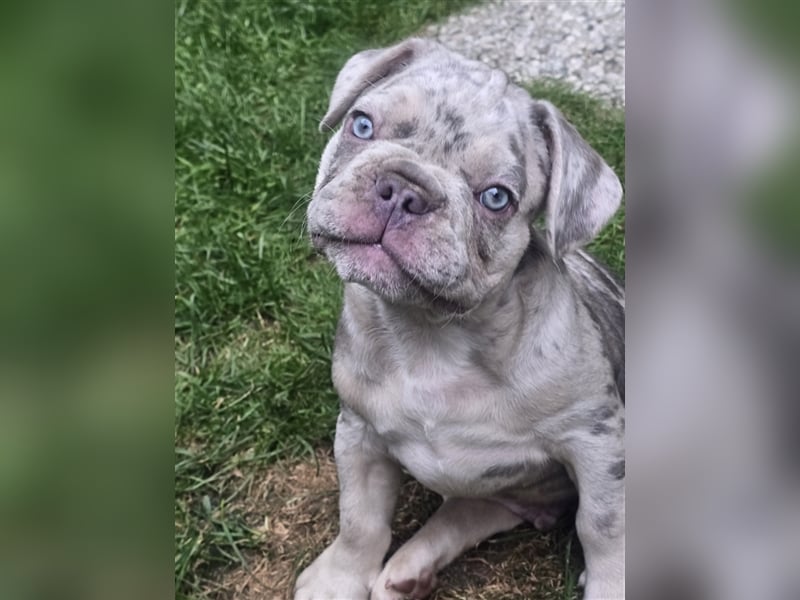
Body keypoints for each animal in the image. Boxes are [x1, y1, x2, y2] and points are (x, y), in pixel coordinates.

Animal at [294, 38, 624, 600]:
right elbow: (359, 518)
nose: (404, 189)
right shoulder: (359, 433)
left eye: (496, 198)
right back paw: (409, 571)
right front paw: (337, 581)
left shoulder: (596, 439)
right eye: (361, 125)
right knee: (472, 508)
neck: (429, 333)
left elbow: (603, 527)